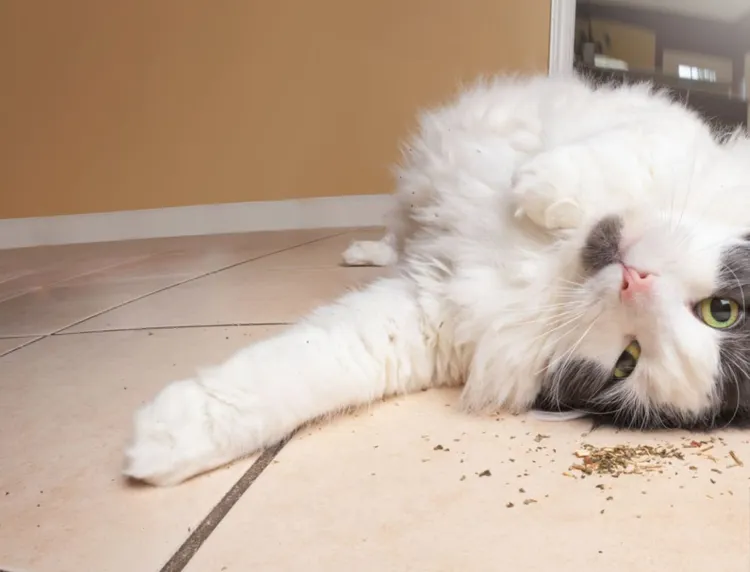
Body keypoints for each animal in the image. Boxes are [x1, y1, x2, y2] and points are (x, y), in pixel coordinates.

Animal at [126, 75, 750, 488]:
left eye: (628, 360)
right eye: (722, 310)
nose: (635, 281)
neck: (556, 264)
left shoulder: (431, 317)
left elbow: (306, 370)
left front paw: (164, 440)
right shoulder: (664, 136)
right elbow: (617, 159)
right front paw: (539, 186)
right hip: (415, 194)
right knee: (397, 229)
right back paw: (361, 251)